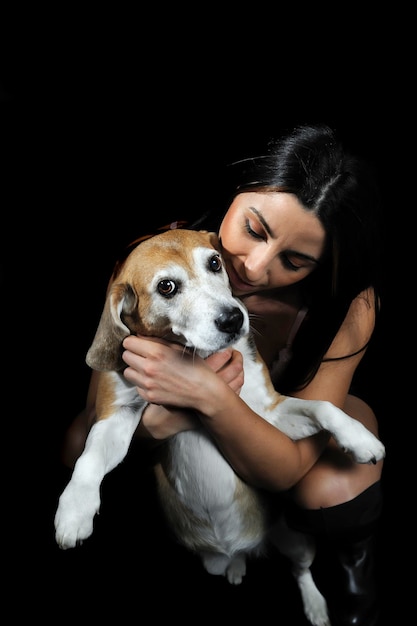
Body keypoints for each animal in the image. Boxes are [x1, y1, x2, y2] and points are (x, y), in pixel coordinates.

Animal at [54, 228, 384, 624]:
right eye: (166, 287)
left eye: (214, 262)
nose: (233, 319)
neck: (197, 355)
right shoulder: (115, 416)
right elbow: (88, 459)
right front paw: (74, 511)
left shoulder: (269, 414)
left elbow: (324, 407)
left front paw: (359, 438)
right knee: (239, 559)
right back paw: (237, 564)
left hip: (295, 538)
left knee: (300, 570)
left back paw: (315, 605)